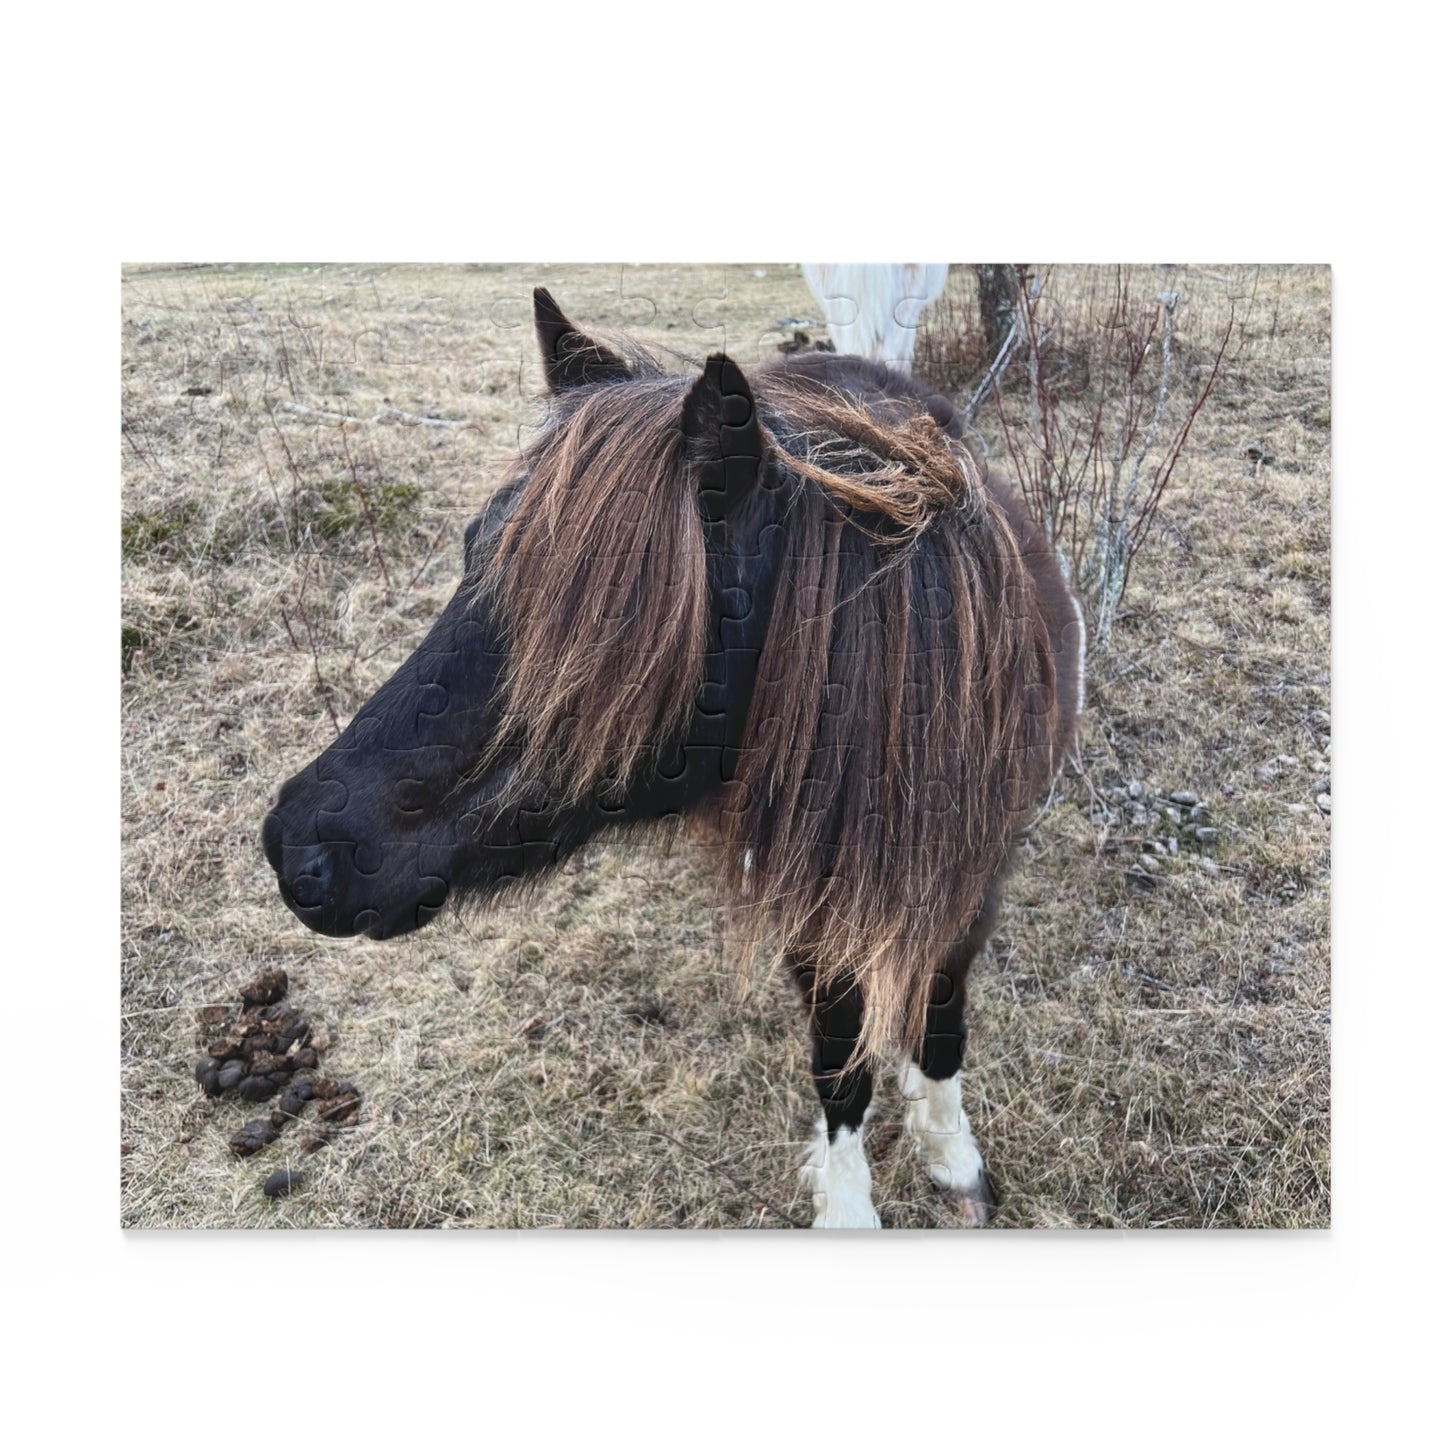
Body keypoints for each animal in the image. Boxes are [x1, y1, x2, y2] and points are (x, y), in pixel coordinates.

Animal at [263, 287, 1086, 1227]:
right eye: (471, 558)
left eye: (606, 639)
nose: (298, 846)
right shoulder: (808, 900)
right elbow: (839, 1052)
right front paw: (847, 1201)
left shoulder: (974, 881)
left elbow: (939, 1022)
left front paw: (950, 1152)